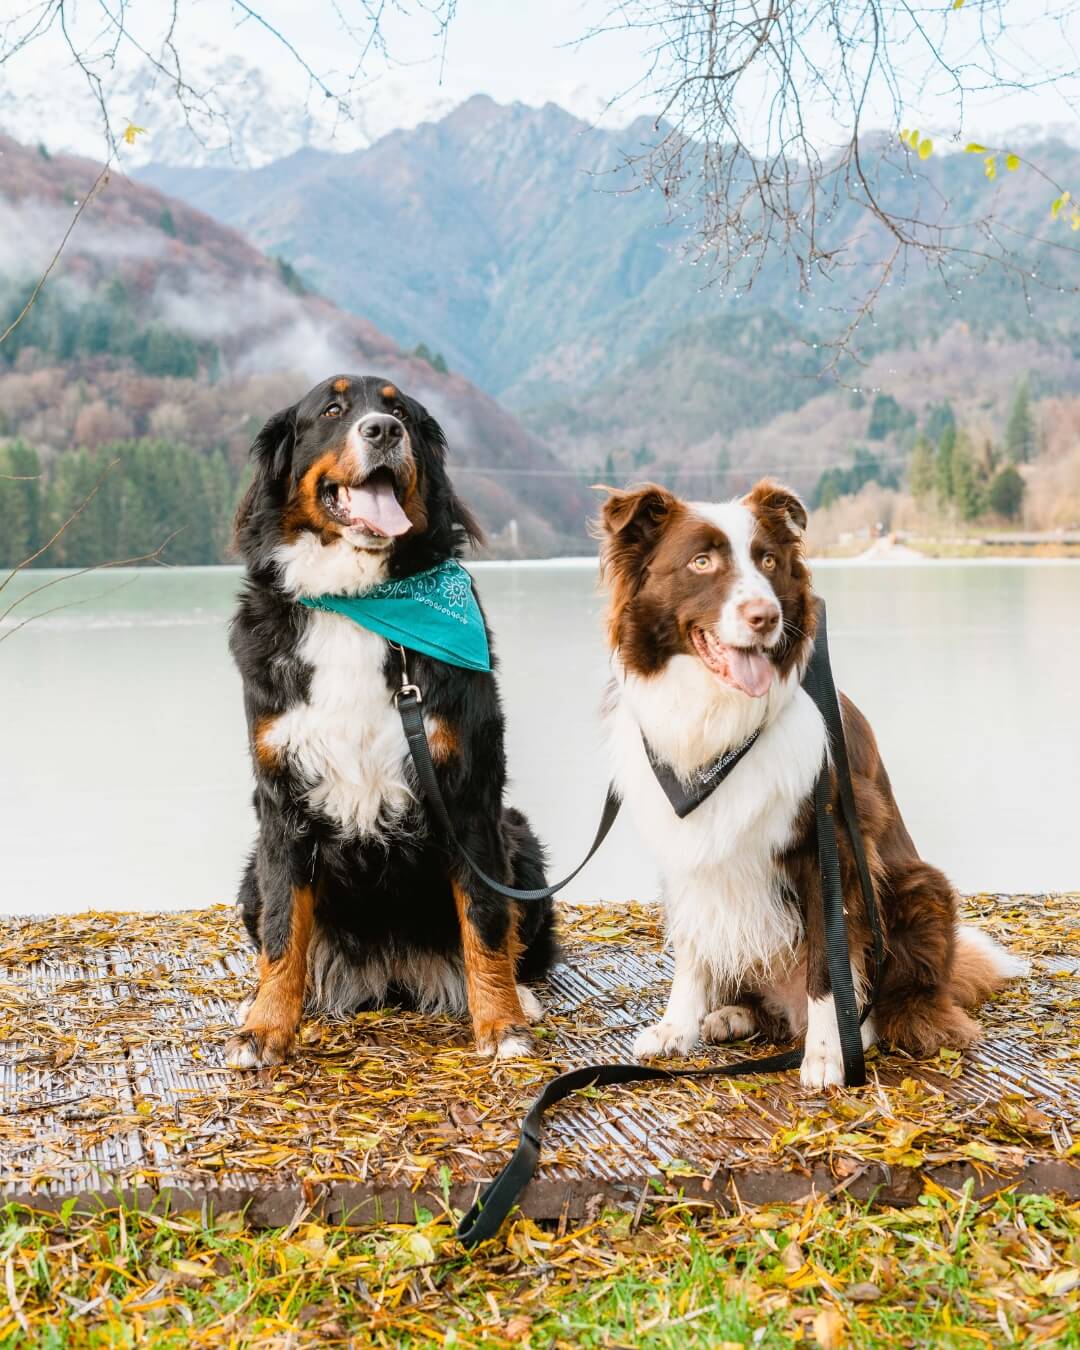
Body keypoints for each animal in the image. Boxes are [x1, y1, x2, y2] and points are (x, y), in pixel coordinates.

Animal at [224, 372, 553, 1063]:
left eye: (399, 409)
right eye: (331, 409)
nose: (383, 430)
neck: (360, 603)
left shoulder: (467, 791)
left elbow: (486, 919)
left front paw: (502, 1024)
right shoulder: (280, 799)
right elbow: (281, 930)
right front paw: (265, 1028)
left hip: (521, 839)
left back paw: (520, 996)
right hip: (247, 873)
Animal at [599, 480, 1031, 1090]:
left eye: (768, 562)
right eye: (702, 562)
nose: (765, 616)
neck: (722, 719)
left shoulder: (831, 845)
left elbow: (829, 960)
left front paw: (830, 1052)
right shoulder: (687, 849)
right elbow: (692, 946)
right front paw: (676, 1028)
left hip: (921, 887)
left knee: (909, 999)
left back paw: (871, 1027)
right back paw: (734, 1014)